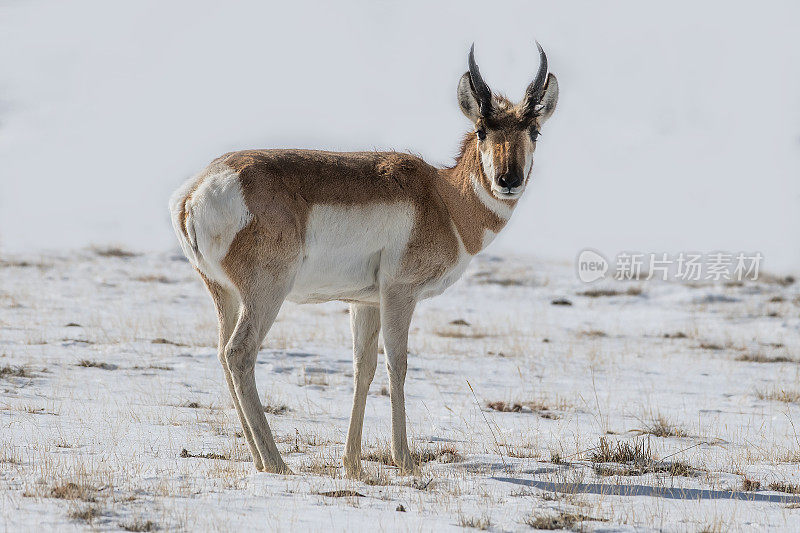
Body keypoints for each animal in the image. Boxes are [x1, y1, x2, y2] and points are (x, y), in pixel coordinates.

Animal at [169, 41, 556, 474]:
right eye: (481, 129)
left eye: (534, 130)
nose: (508, 181)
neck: (443, 199)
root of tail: (195, 191)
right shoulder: (399, 294)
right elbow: (397, 365)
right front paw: (405, 460)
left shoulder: (364, 302)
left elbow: (363, 369)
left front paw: (352, 463)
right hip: (266, 294)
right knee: (240, 354)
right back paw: (276, 462)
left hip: (225, 295)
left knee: (223, 354)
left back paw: (258, 459)